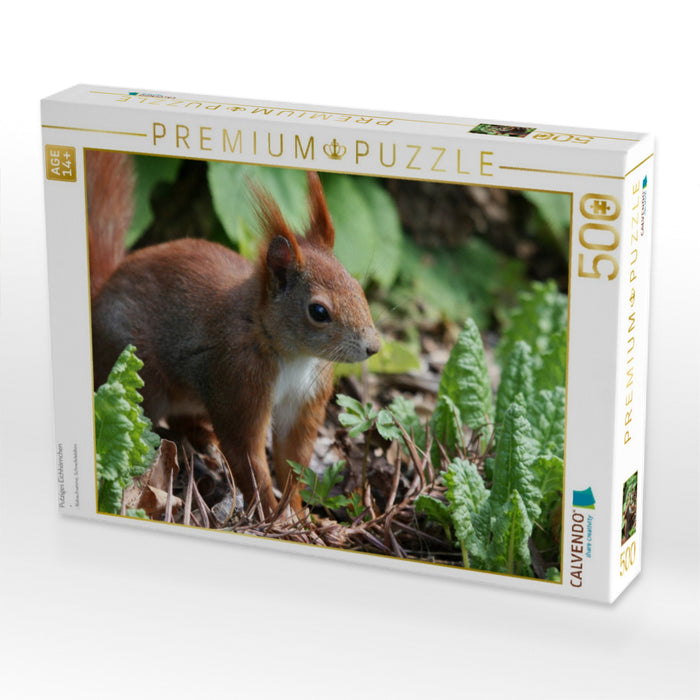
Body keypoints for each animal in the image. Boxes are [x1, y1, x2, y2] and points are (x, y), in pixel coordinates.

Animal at [87, 150, 381, 517]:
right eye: (318, 312)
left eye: (358, 287)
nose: (373, 347)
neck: (291, 355)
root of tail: (99, 293)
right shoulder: (238, 379)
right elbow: (248, 457)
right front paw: (273, 514)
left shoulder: (306, 397)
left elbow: (292, 458)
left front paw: (297, 512)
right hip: (140, 376)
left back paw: (202, 437)